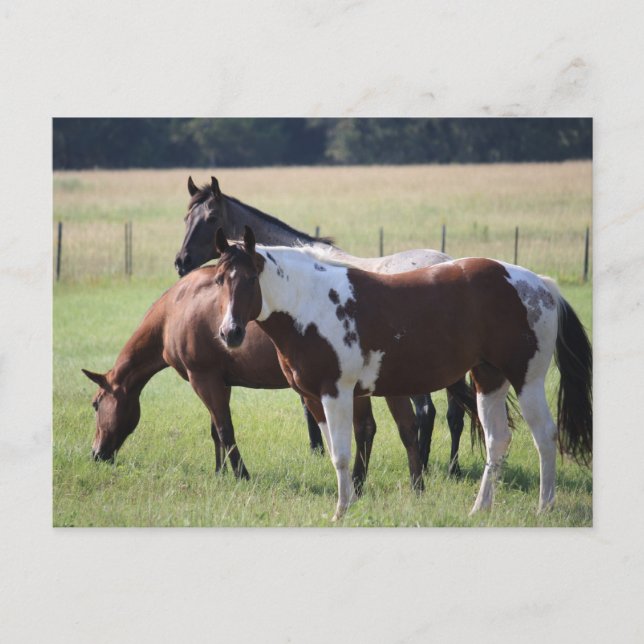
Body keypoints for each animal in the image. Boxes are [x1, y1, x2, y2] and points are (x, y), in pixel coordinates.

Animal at [81, 264, 475, 493]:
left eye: (96, 404)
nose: (96, 453)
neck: (179, 307)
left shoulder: (203, 378)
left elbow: (225, 429)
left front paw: (240, 476)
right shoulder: (218, 381)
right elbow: (215, 431)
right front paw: (219, 472)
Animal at [174, 175, 470, 475]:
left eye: (211, 218)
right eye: (187, 218)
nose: (181, 261)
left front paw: (317, 448)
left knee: (427, 412)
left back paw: (426, 464)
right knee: (454, 413)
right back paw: (452, 467)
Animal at [212, 226, 592, 521]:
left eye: (250, 278)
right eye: (218, 280)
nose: (230, 333)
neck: (311, 303)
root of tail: (540, 284)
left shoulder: (337, 393)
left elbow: (342, 454)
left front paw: (341, 511)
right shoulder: (315, 398)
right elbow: (337, 452)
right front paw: (347, 504)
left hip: (527, 380)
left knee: (545, 436)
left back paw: (544, 507)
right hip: (488, 380)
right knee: (496, 440)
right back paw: (480, 508)